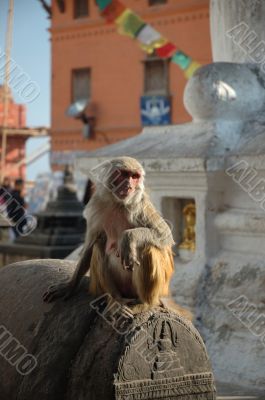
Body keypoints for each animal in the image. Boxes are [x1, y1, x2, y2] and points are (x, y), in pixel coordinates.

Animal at [43, 158, 184, 310]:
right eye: (124, 174)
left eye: (135, 177)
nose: (129, 186)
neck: (117, 203)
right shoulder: (97, 206)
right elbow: (89, 246)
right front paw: (69, 286)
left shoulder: (139, 205)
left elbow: (164, 234)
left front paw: (128, 238)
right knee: (99, 244)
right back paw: (116, 299)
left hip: (158, 289)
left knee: (147, 247)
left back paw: (143, 303)